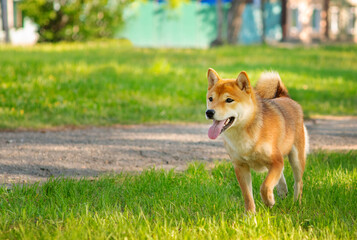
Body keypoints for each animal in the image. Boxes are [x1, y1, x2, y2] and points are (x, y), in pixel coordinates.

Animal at [204, 68, 308, 213]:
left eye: (229, 100)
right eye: (211, 99)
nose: (209, 112)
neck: (244, 133)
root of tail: (286, 98)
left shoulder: (275, 160)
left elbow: (265, 186)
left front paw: (269, 201)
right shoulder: (240, 167)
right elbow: (248, 195)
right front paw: (250, 214)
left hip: (296, 158)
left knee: (298, 182)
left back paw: (296, 202)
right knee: (282, 174)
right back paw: (282, 190)